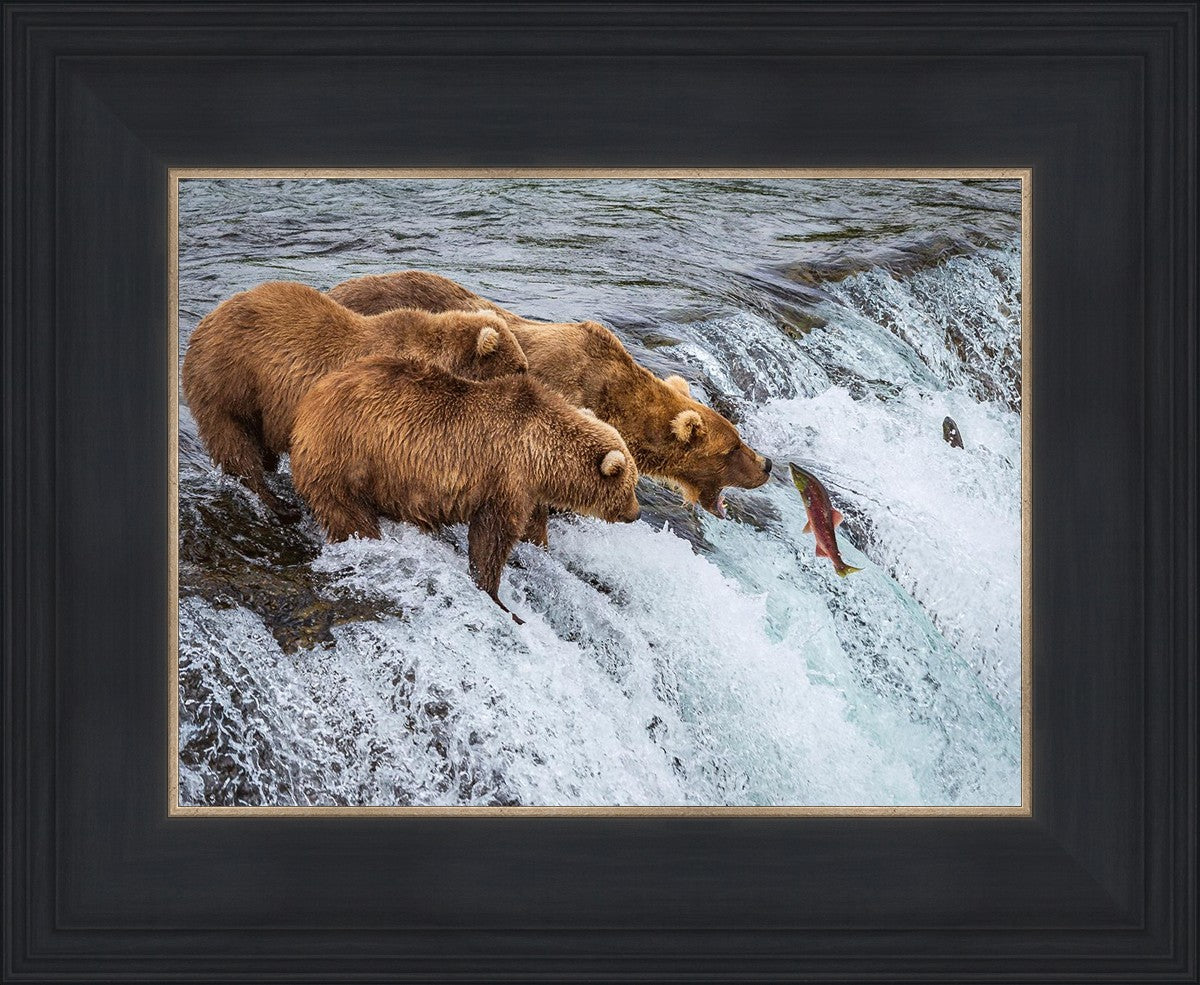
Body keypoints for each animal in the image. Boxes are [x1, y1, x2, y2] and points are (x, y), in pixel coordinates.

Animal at [181, 280, 528, 517]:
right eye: (520, 368)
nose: (530, 382)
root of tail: (204, 322)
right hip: (229, 382)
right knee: (235, 443)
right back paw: (276, 503)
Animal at [289, 355, 642, 622]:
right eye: (631, 486)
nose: (636, 513)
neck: (541, 454)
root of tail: (309, 402)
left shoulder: (527, 489)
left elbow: (532, 527)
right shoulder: (505, 477)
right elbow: (492, 537)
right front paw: (497, 597)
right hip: (348, 458)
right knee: (349, 514)